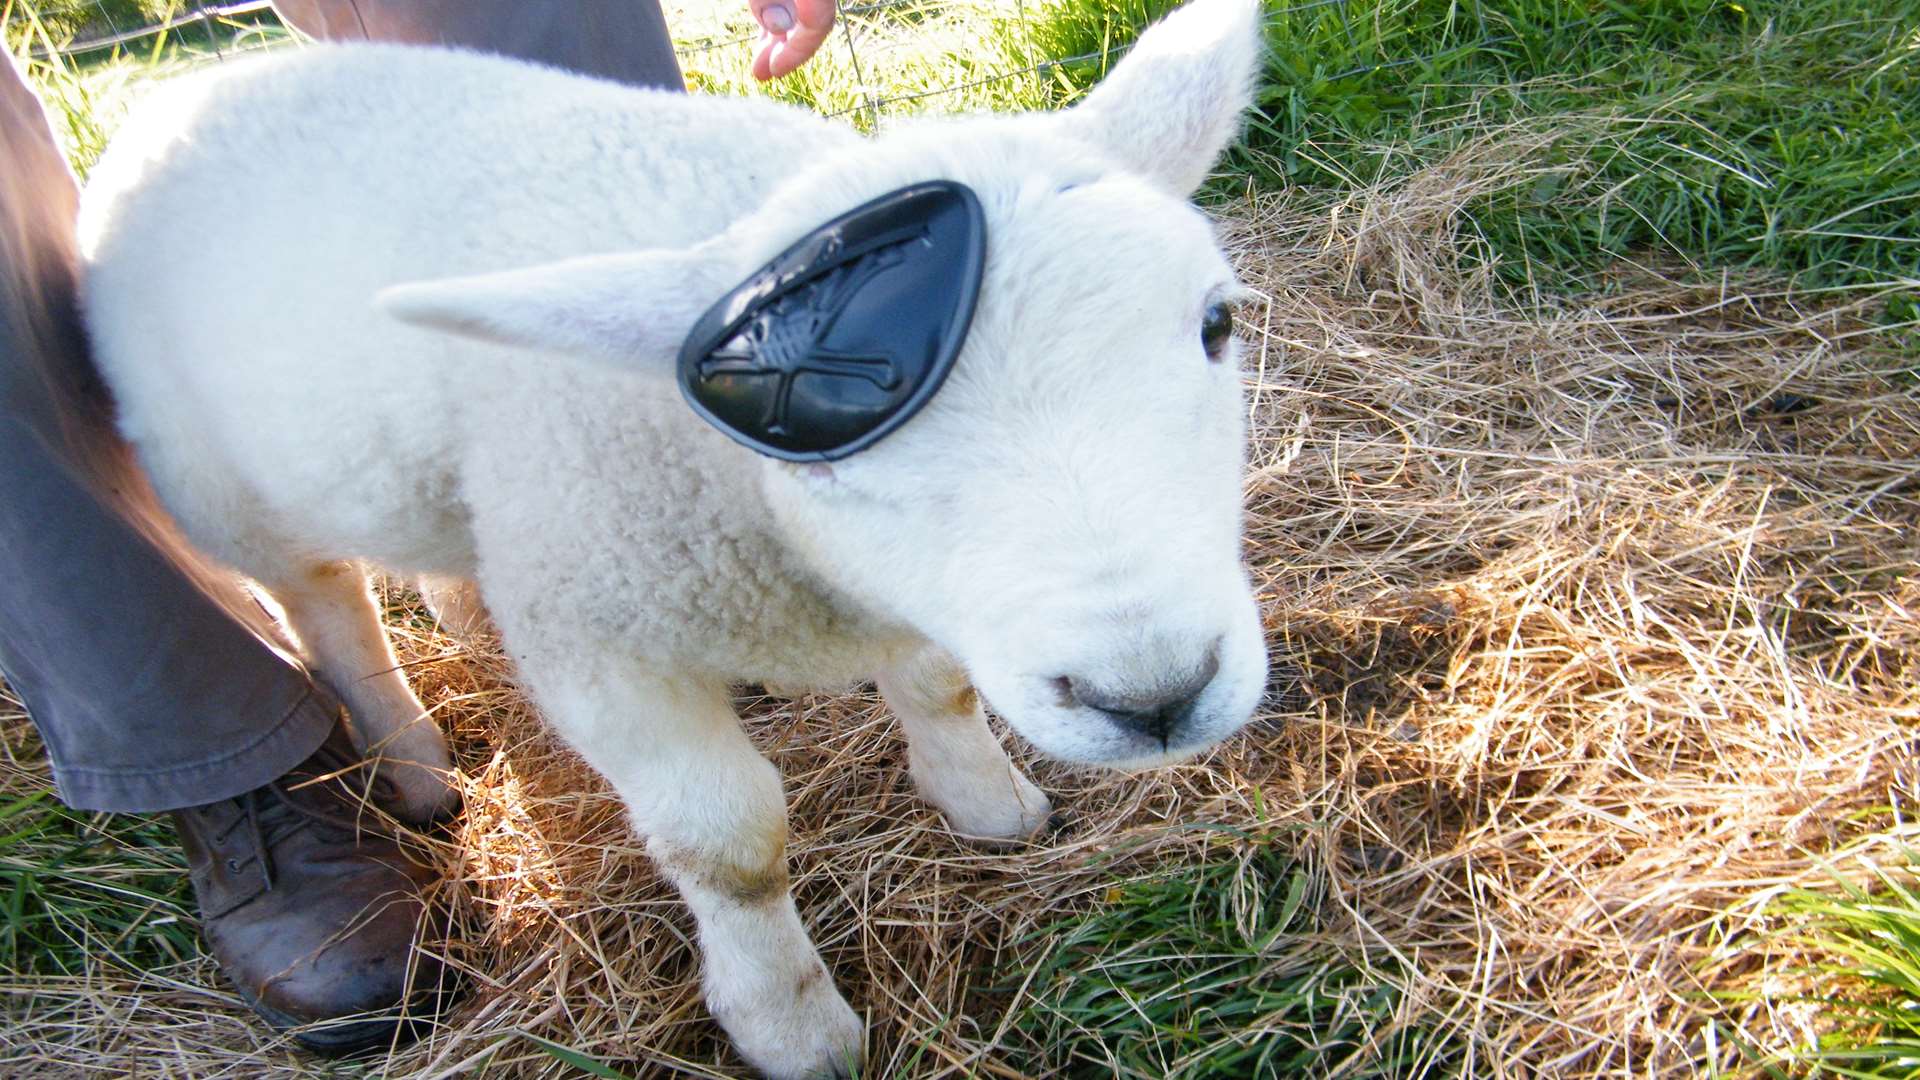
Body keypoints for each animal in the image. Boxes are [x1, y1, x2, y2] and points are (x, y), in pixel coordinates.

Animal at [78, 4, 1274, 1068]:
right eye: (812, 443)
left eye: (1217, 323)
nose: (1155, 696)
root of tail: (189, 84)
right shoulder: (600, 640)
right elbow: (732, 846)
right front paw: (790, 1025)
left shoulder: (924, 599)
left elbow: (941, 688)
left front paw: (985, 803)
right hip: (209, 474)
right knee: (322, 598)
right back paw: (409, 754)